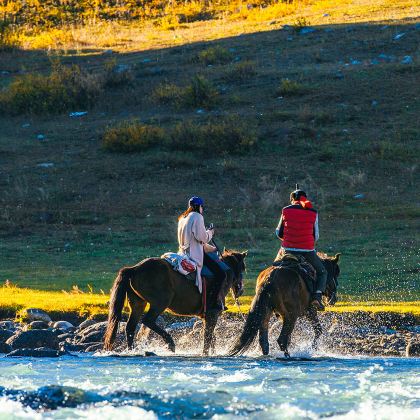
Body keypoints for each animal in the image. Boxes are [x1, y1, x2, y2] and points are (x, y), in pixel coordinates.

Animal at [103, 249, 246, 354]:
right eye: (243, 268)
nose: (241, 290)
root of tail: (134, 268)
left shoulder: (207, 316)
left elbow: (211, 336)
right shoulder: (212, 314)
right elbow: (208, 336)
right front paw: (206, 353)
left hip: (139, 304)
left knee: (131, 327)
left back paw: (132, 351)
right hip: (160, 303)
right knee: (147, 321)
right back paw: (170, 343)